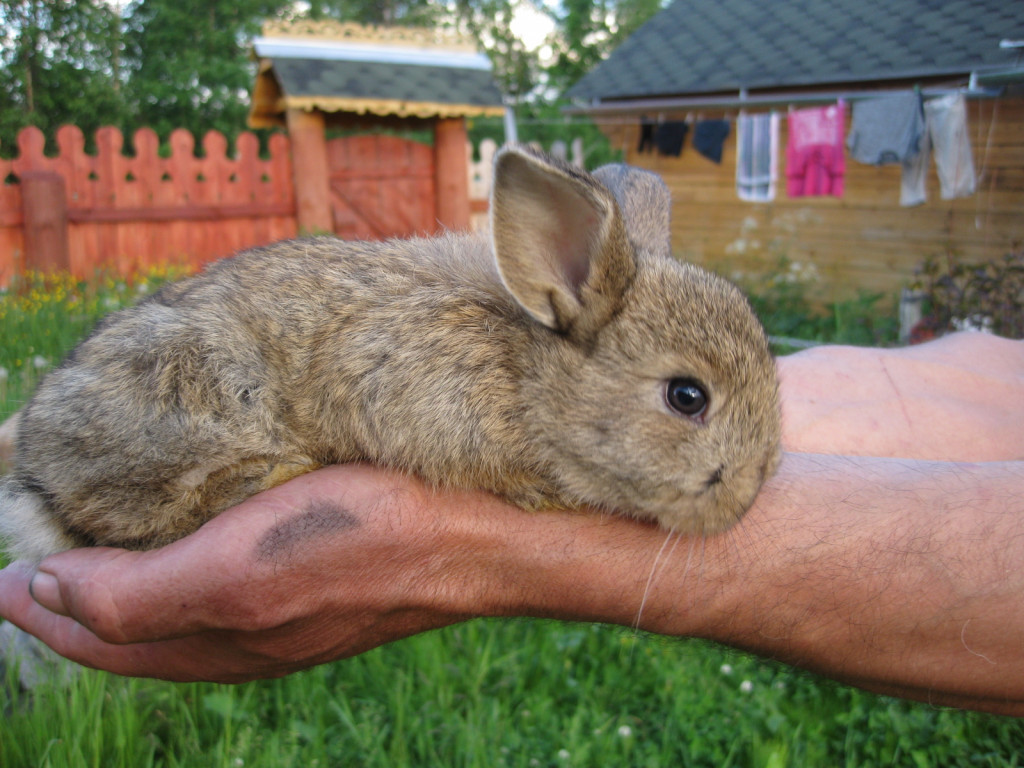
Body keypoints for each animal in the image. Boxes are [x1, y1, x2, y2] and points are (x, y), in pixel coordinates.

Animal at [0, 145, 774, 565]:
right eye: (687, 397)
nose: (744, 499)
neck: (528, 366)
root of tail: (36, 475)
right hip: (190, 392)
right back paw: (276, 469)